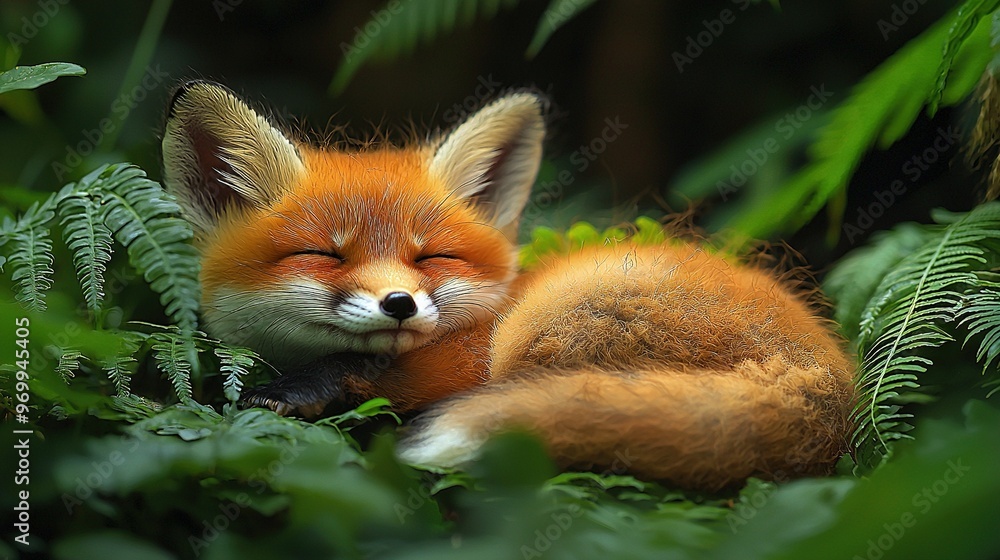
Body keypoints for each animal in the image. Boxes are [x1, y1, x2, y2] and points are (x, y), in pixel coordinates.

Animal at [161, 81, 855, 490]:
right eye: (322, 255)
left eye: (433, 256)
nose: (398, 304)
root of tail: (830, 380)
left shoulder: (464, 361)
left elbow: (376, 379)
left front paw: (305, 391)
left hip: (546, 326)